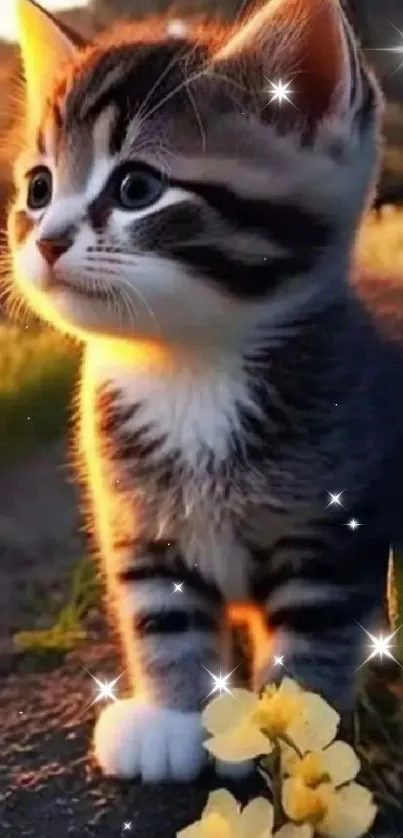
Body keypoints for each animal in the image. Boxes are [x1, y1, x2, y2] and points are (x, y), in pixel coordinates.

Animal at [7, 0, 403, 788]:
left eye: (136, 189)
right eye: (38, 189)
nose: (48, 240)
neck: (187, 371)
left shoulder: (332, 531)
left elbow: (314, 641)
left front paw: (287, 735)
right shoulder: (140, 521)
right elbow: (162, 616)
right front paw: (171, 721)